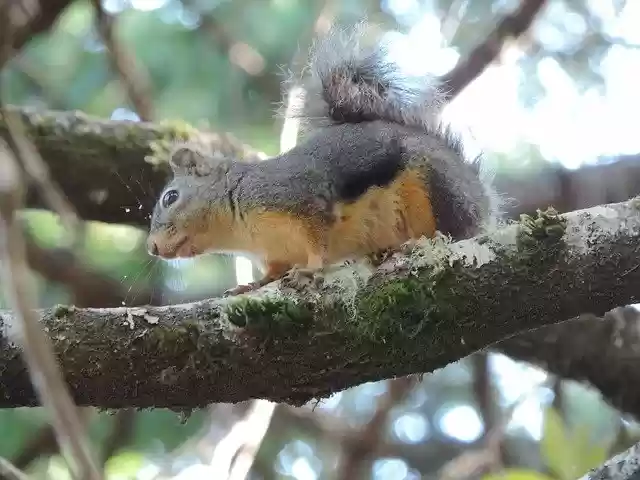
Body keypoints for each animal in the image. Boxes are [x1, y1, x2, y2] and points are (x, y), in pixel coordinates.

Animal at [146, 24, 500, 296]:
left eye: (170, 197)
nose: (152, 248)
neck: (240, 226)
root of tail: (480, 197)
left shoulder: (300, 200)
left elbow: (318, 244)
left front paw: (310, 268)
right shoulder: (276, 253)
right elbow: (273, 273)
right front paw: (252, 285)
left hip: (433, 185)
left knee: (457, 228)